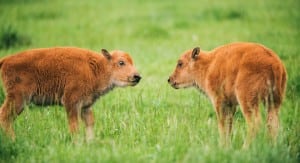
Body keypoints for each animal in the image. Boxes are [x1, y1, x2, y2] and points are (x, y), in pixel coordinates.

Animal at [0, 46, 141, 140]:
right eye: (121, 62)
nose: (137, 76)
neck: (96, 68)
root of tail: (5, 60)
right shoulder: (71, 103)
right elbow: (74, 125)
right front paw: (77, 144)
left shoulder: (86, 105)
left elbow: (89, 123)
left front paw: (91, 142)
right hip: (18, 99)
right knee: (5, 115)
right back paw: (13, 140)